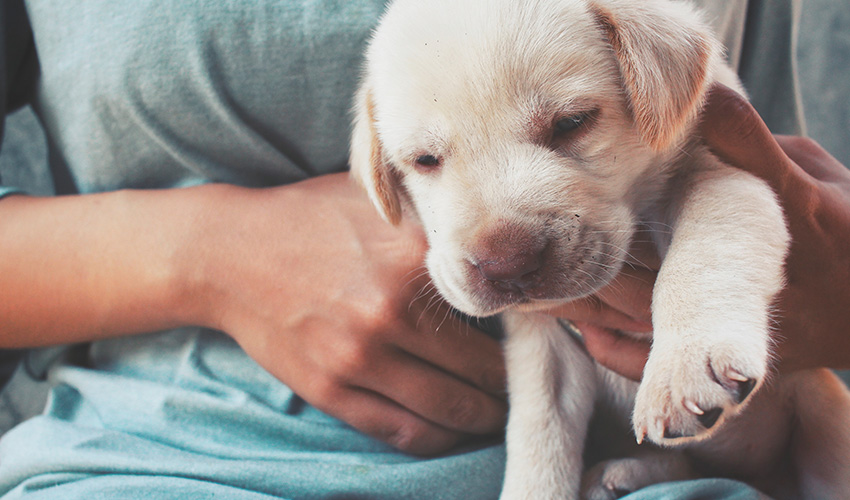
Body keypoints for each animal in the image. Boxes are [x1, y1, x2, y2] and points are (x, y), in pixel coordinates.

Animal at [348, 0, 848, 500]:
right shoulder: (542, 343)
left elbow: (702, 258)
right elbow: (539, 432)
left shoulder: (723, 171)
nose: (507, 267)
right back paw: (622, 473)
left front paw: (683, 365)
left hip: (825, 411)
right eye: (425, 160)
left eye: (572, 123)